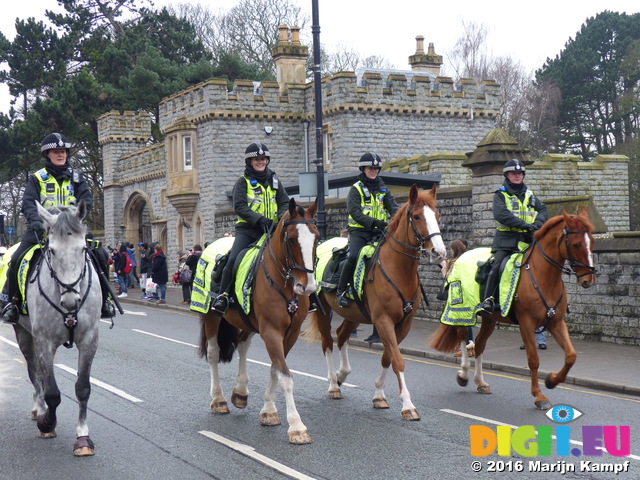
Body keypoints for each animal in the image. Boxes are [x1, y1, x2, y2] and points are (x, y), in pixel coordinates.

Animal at [12, 201, 101, 456]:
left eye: (83, 248)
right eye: (51, 250)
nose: (71, 301)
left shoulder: (89, 340)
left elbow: (83, 388)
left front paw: (83, 438)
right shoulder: (44, 341)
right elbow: (52, 392)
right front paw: (47, 423)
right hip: (24, 334)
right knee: (35, 371)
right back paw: (39, 409)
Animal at [196, 197, 318, 444]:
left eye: (317, 237)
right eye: (292, 239)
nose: (308, 287)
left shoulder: (289, 333)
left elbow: (275, 369)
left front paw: (269, 411)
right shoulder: (271, 331)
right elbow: (285, 376)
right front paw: (296, 426)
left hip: (248, 321)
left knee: (243, 344)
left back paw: (240, 391)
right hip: (211, 316)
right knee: (213, 353)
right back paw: (219, 399)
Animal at [304, 185, 444, 420]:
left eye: (437, 215)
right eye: (417, 216)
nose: (439, 252)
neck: (398, 270)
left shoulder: (403, 324)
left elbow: (388, 357)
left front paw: (379, 395)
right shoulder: (383, 320)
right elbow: (397, 359)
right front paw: (408, 405)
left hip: (354, 314)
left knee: (342, 335)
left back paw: (342, 374)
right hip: (324, 311)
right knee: (328, 342)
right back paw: (333, 384)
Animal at [428, 206, 596, 408]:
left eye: (592, 242)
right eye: (577, 244)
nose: (588, 280)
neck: (542, 276)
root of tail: (461, 257)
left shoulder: (556, 322)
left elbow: (571, 355)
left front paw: (552, 380)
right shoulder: (526, 324)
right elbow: (533, 360)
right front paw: (539, 396)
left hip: (489, 318)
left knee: (480, 344)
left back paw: (480, 382)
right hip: (462, 311)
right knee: (463, 338)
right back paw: (463, 374)